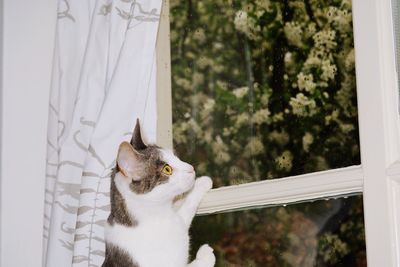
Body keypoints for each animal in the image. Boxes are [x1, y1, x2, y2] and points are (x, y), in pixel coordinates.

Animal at [102, 120, 216, 266]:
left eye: (175, 157)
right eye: (167, 169)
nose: (191, 168)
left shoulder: (177, 224)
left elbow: (185, 211)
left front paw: (201, 183)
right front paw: (205, 256)